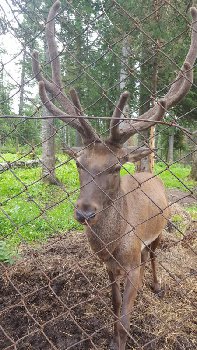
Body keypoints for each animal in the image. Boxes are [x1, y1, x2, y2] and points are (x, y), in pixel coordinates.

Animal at [32, 1, 197, 348]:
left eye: (116, 166)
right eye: (79, 164)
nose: (84, 212)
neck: (114, 245)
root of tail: (150, 173)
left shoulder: (131, 263)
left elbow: (124, 319)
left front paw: (120, 339)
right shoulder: (108, 266)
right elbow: (114, 304)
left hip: (160, 228)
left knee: (154, 256)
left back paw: (157, 286)